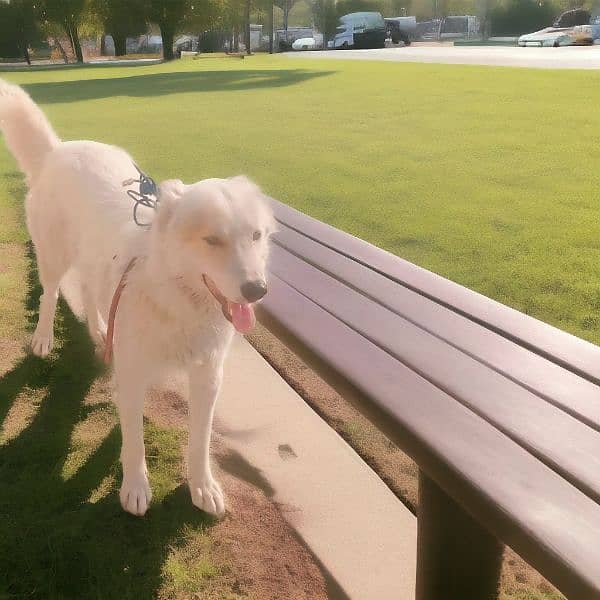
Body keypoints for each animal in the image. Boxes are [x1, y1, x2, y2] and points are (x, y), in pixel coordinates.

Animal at [0, 79, 276, 516]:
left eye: (256, 236)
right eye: (212, 240)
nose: (257, 291)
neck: (178, 299)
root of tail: (59, 149)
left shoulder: (207, 376)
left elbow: (200, 440)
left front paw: (203, 487)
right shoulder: (132, 374)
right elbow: (134, 440)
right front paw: (135, 486)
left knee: (89, 290)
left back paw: (99, 331)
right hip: (54, 257)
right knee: (50, 294)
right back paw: (44, 338)